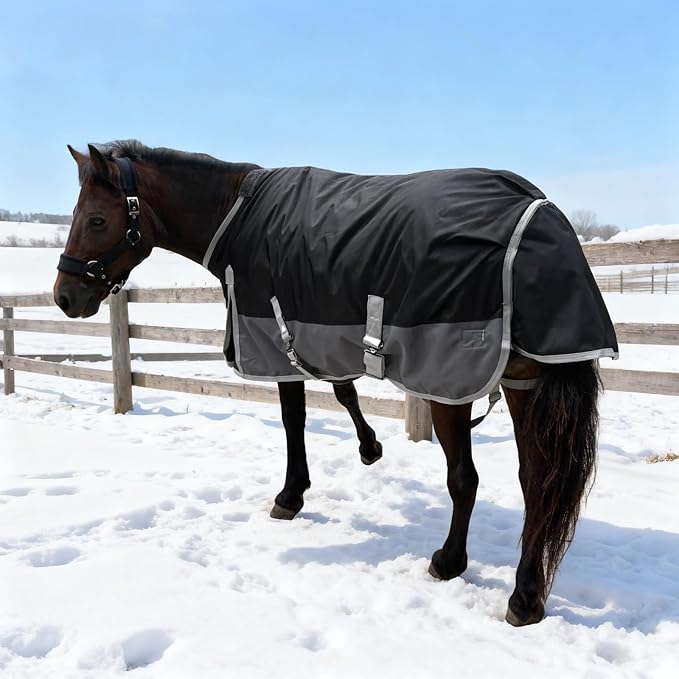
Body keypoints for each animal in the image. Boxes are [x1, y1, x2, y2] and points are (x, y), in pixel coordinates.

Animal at [53, 141, 617, 626]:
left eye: (97, 219)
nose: (64, 296)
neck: (236, 213)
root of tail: (542, 218)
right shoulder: (319, 334)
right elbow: (343, 390)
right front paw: (369, 448)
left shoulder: (275, 338)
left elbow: (294, 420)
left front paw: (290, 495)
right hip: (525, 384)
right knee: (537, 481)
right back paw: (527, 594)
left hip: (451, 385)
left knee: (466, 479)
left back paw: (454, 564)